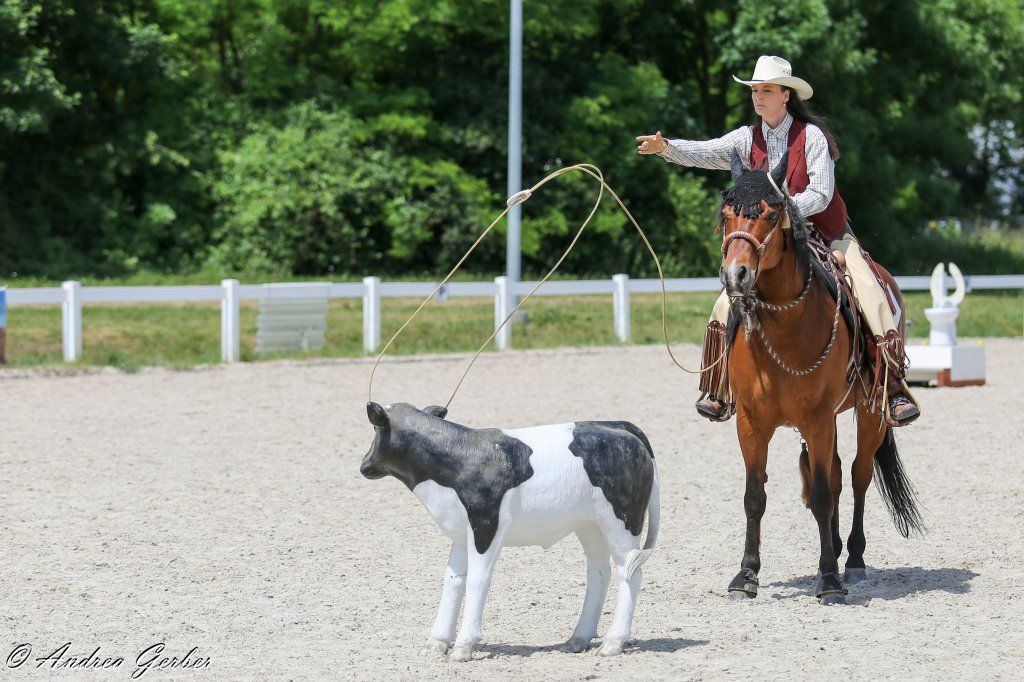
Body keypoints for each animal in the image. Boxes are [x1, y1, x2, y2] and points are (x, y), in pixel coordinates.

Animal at [716, 150, 923, 605]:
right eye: (725, 215)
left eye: (771, 213)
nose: (735, 275)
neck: (785, 326)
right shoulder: (752, 423)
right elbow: (755, 496)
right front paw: (746, 574)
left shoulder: (818, 419)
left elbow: (824, 494)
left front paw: (829, 579)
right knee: (836, 475)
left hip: (869, 414)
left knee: (858, 476)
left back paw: (854, 560)